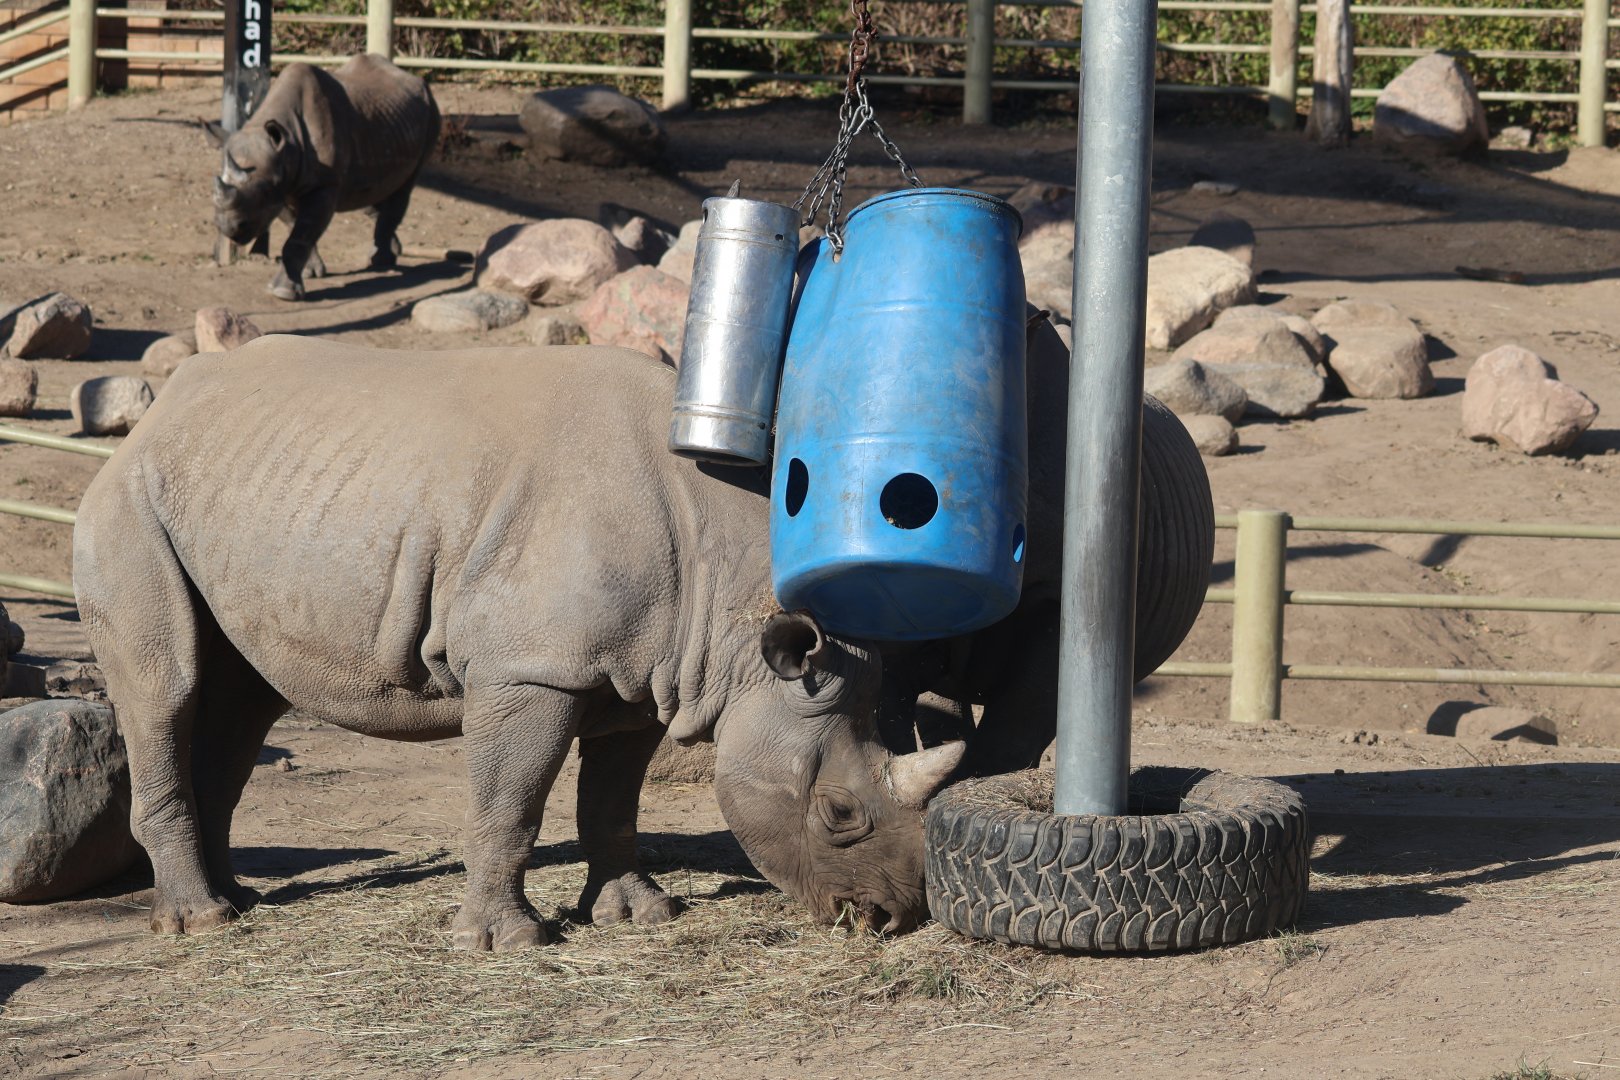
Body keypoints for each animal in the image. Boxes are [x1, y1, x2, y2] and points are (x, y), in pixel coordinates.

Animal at [73, 339, 962, 950]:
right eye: (840, 813)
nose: (889, 916)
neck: (735, 619)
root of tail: (149, 420)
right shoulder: (530, 668)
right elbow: (512, 800)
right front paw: (506, 942)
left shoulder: (648, 670)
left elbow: (613, 800)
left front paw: (639, 915)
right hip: (128, 500)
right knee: (167, 688)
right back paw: (201, 922)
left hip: (247, 491)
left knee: (243, 698)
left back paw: (238, 902)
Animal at [208, 54, 440, 302]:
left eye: (262, 192)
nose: (227, 227)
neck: (286, 146)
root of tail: (412, 77)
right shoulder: (282, 187)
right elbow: (296, 228)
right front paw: (310, 272)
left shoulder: (322, 184)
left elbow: (300, 237)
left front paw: (283, 292)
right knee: (373, 193)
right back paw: (392, 251)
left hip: (431, 112)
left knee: (404, 188)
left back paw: (381, 262)